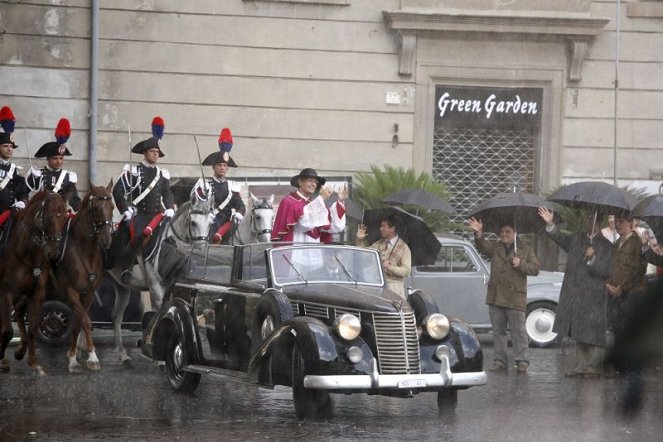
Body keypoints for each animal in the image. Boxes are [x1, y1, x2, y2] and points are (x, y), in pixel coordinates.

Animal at [0, 190, 68, 376]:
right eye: (49, 216)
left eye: (63, 217)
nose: (54, 253)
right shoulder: (5, 293)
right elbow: (7, 331)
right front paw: (2, 361)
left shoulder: (36, 294)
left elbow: (33, 328)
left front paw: (34, 363)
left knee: (18, 315)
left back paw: (20, 349)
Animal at [52, 180, 114, 372]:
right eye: (96, 208)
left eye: (112, 206)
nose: (106, 241)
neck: (86, 251)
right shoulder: (69, 290)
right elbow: (85, 321)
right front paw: (91, 357)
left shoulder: (89, 292)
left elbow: (79, 322)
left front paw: (74, 356)